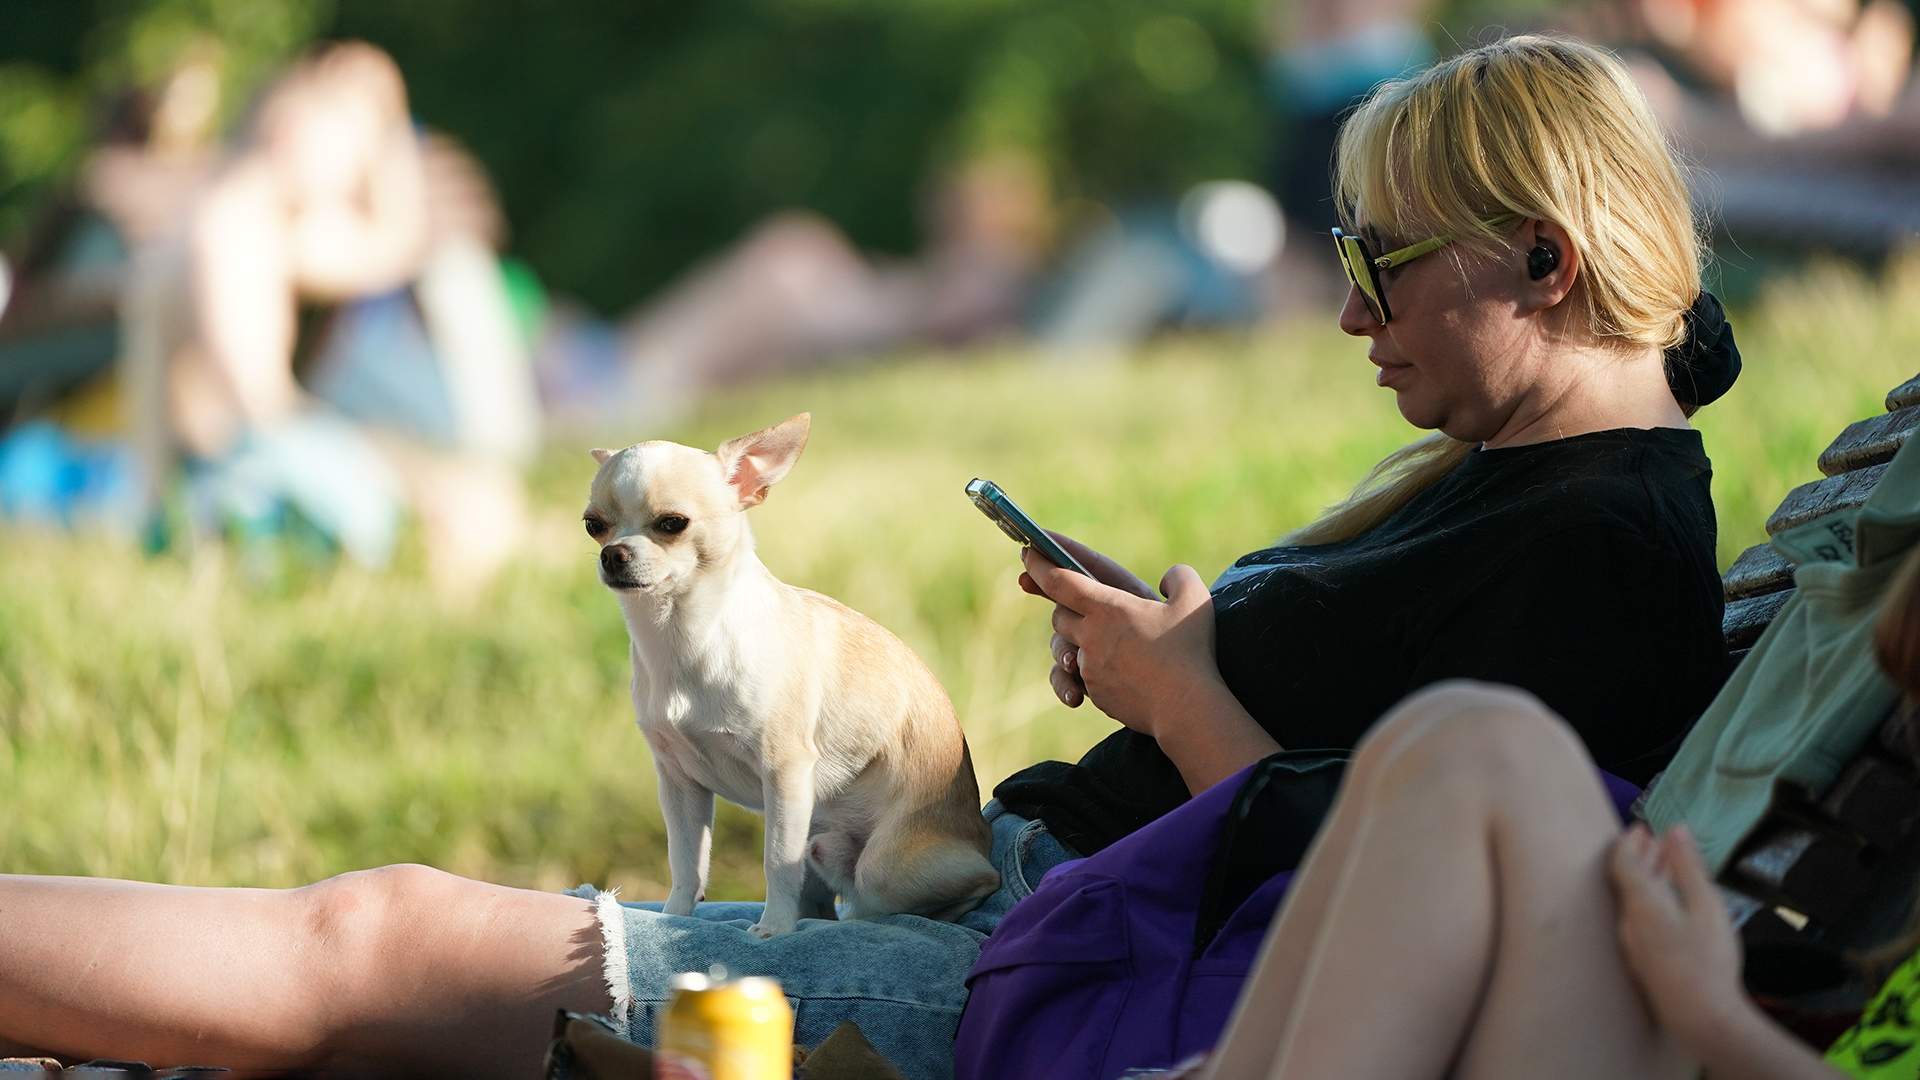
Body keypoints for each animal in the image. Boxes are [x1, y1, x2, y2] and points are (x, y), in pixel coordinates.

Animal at [587, 411, 998, 933]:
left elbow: (776, 862)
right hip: (820, 840)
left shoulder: (784, 772)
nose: (613, 553)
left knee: (957, 883)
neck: (684, 634)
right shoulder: (680, 784)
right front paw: (672, 917)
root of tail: (979, 835)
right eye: (593, 526)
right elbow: (685, 862)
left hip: (886, 867)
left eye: (672, 524)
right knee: (822, 894)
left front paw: (774, 929)